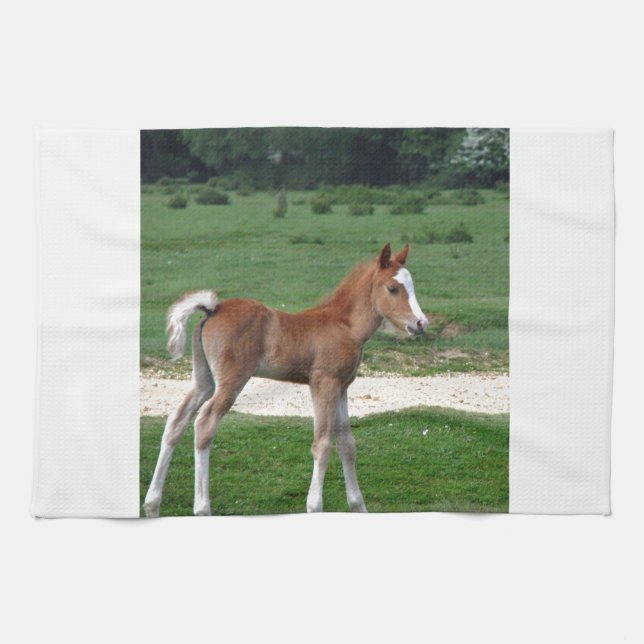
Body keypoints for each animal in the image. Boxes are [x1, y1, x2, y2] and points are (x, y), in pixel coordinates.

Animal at [143, 243, 428, 517]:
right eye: (393, 288)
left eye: (412, 285)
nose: (421, 323)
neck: (345, 326)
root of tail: (213, 308)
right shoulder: (324, 383)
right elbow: (322, 444)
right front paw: (314, 506)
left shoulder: (342, 387)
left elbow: (347, 444)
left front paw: (359, 506)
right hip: (231, 381)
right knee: (204, 424)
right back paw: (202, 508)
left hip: (204, 380)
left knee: (177, 421)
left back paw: (152, 504)